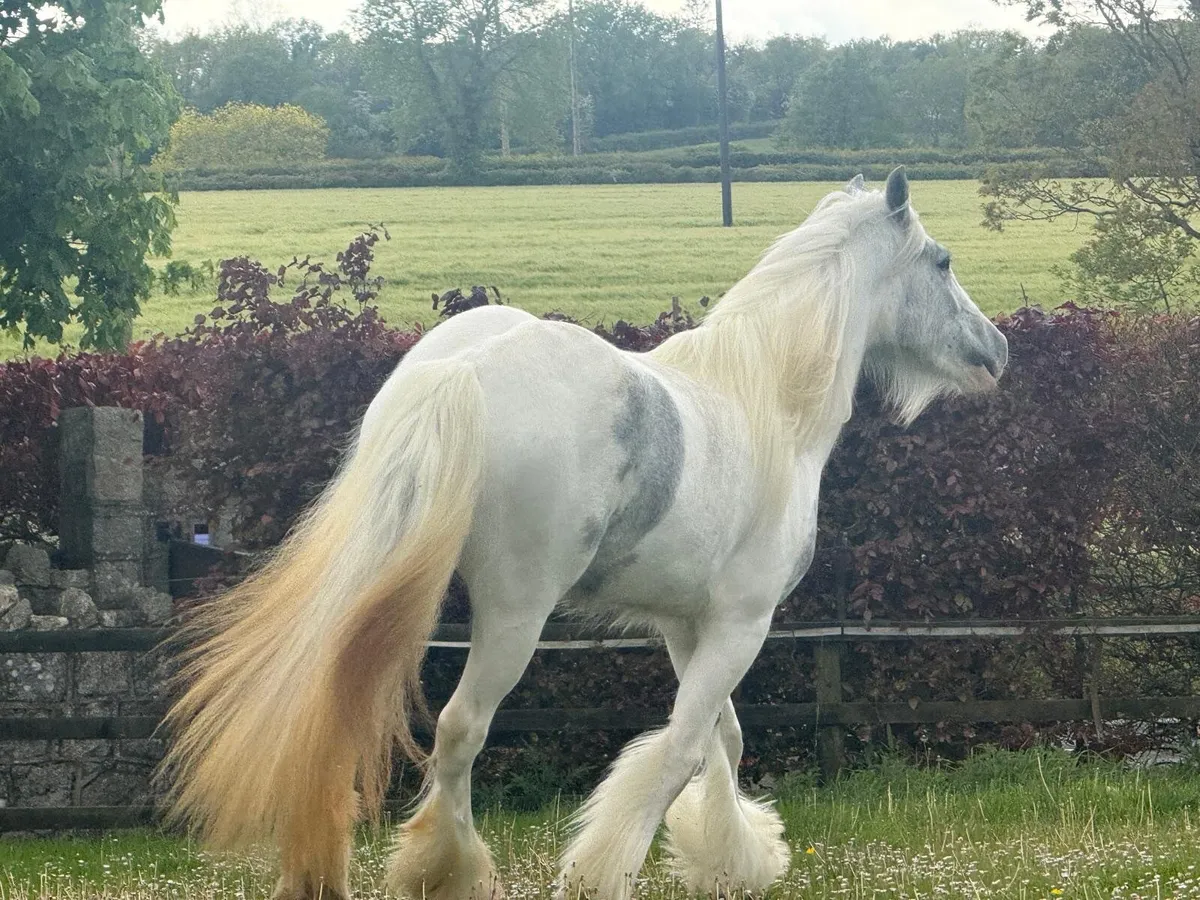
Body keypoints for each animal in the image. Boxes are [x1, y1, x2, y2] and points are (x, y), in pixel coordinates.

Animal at [158, 167, 1007, 900]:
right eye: (941, 260)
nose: (996, 351)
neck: (767, 401)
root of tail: (463, 371)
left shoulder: (687, 624)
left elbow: (722, 739)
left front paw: (734, 858)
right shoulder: (743, 622)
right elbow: (682, 748)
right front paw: (609, 872)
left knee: (328, 714)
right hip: (515, 613)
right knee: (460, 729)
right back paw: (449, 871)